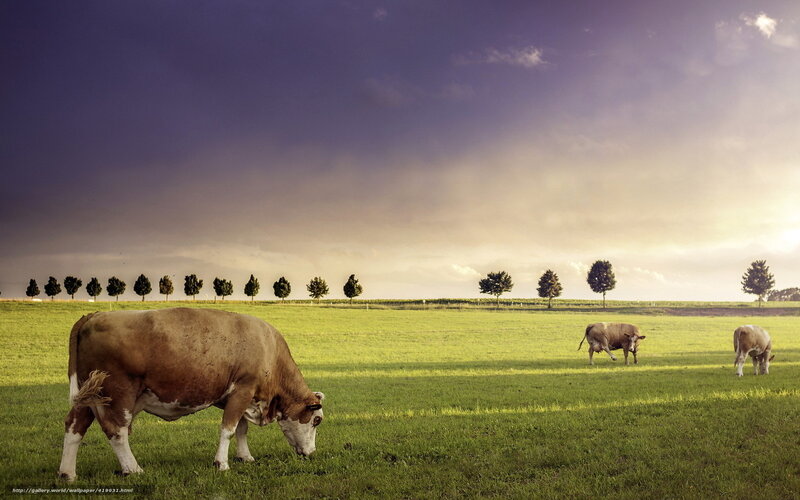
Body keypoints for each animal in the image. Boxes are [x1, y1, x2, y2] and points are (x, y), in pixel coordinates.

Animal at [58, 308, 325, 481]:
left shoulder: (241, 397)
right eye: (316, 420)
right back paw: (133, 469)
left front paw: (245, 457)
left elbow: (241, 428)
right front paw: (222, 463)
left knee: (74, 426)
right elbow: (228, 429)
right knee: (117, 431)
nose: (312, 453)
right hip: (118, 394)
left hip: (89, 396)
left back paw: (67, 473)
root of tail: (94, 315)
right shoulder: (243, 390)